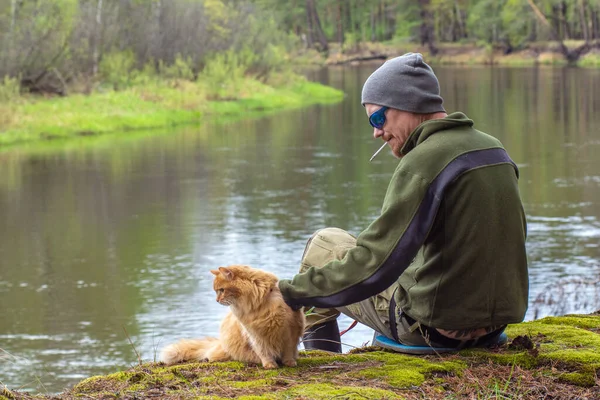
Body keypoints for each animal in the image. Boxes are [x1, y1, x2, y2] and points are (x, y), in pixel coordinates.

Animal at [159, 266, 304, 368]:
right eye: (216, 291)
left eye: (222, 290)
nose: (217, 300)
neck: (259, 304)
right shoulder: (255, 335)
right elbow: (264, 351)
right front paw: (269, 365)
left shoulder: (290, 331)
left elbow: (288, 350)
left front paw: (289, 362)